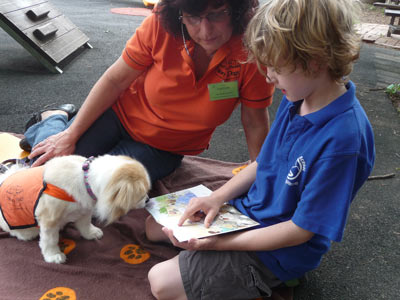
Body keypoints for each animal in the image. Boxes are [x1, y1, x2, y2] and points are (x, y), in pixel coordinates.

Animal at [0, 155, 150, 262]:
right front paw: (53, 256)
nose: (148, 199)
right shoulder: (49, 220)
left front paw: (91, 233)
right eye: (141, 195)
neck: (85, 180)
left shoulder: (84, 210)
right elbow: (50, 240)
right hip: (25, 229)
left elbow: (85, 225)